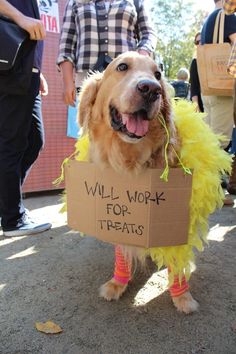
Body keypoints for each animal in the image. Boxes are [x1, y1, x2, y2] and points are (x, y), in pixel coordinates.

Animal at [78, 51, 198, 312]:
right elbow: (122, 252)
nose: (151, 89)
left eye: (158, 74)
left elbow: (177, 257)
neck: (131, 159)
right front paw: (117, 283)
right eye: (122, 67)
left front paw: (182, 296)